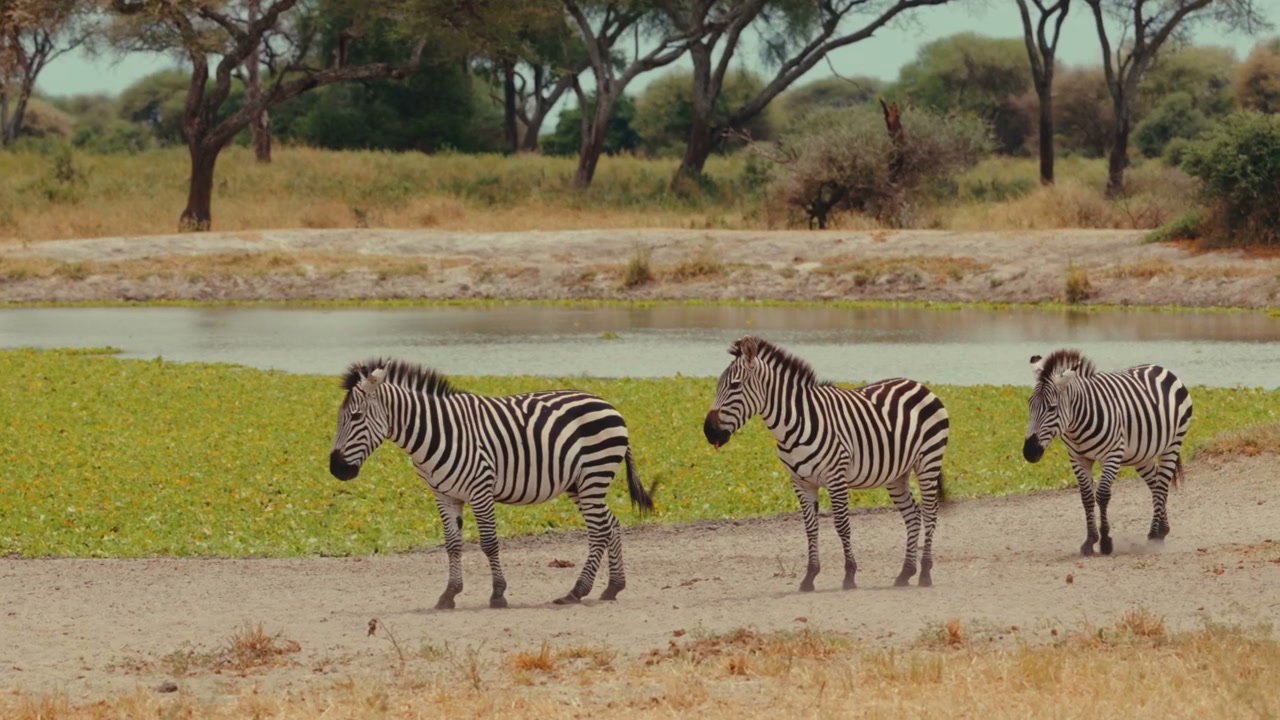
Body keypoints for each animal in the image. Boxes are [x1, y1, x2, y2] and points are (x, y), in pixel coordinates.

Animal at [329, 358, 654, 609]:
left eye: (356, 416)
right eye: (339, 417)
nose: (336, 469)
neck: (437, 432)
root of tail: (608, 404)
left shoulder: (480, 489)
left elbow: (488, 542)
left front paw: (498, 594)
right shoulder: (444, 495)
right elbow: (452, 545)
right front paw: (449, 594)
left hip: (593, 476)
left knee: (599, 531)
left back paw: (576, 591)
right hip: (580, 484)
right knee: (610, 524)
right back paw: (613, 587)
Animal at [702, 336, 949, 591]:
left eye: (735, 386)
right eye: (717, 386)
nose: (709, 432)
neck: (795, 423)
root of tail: (918, 384)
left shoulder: (836, 477)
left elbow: (841, 524)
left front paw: (849, 575)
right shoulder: (801, 482)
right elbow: (810, 528)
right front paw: (810, 576)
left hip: (928, 462)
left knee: (930, 512)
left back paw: (925, 573)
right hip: (896, 474)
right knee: (913, 515)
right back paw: (905, 573)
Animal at [1023, 349, 1193, 556]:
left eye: (1052, 408)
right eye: (1030, 404)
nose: (1029, 452)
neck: (1077, 424)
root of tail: (1160, 368)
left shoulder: (1112, 455)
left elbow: (1102, 495)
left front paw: (1105, 541)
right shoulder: (1078, 458)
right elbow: (1087, 497)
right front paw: (1090, 541)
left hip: (1172, 444)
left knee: (1161, 486)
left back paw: (1155, 536)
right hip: (1142, 454)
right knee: (1155, 484)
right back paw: (1162, 529)